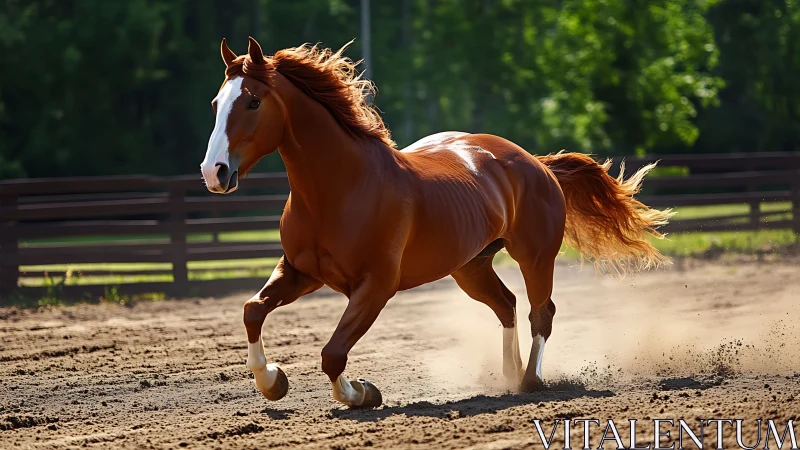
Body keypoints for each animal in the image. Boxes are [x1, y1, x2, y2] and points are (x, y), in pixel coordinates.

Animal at [200, 37, 672, 408]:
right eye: (216, 103)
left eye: (253, 101)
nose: (214, 172)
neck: (340, 189)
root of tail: (537, 163)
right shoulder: (301, 272)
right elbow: (252, 310)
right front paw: (273, 381)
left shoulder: (376, 286)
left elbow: (333, 353)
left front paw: (363, 393)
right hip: (470, 267)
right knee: (507, 305)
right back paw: (507, 373)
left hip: (535, 256)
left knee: (541, 312)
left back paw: (529, 380)